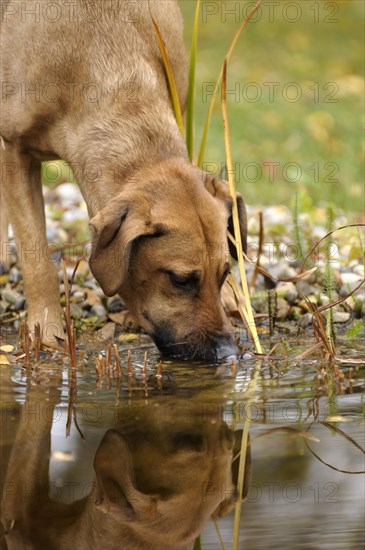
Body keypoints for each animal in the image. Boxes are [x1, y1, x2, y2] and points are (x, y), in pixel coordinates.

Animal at [0, 1, 246, 362]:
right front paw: (46, 330)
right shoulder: (15, 149)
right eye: (179, 280)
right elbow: (36, 261)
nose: (227, 352)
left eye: (225, 272)